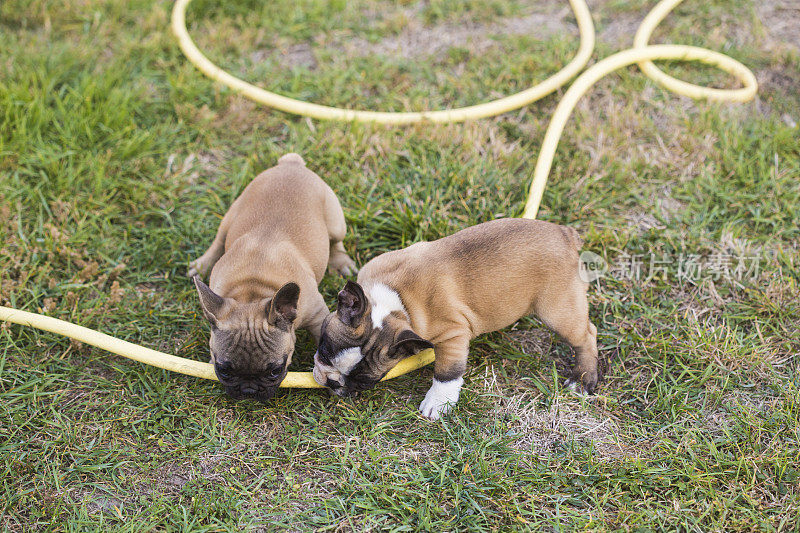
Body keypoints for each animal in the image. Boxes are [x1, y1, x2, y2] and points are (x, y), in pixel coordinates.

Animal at [189, 154, 354, 404]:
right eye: (223, 370)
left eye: (275, 371)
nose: (248, 391)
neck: (253, 290)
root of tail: (291, 163)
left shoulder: (317, 316)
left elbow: (323, 342)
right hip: (230, 216)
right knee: (219, 239)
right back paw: (201, 265)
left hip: (336, 224)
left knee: (336, 241)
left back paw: (341, 262)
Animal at [312, 218, 600, 418]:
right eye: (324, 350)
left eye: (364, 382)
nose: (335, 383)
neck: (396, 302)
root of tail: (566, 235)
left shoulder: (453, 334)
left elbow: (447, 372)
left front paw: (438, 403)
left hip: (557, 309)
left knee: (586, 335)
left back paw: (583, 379)